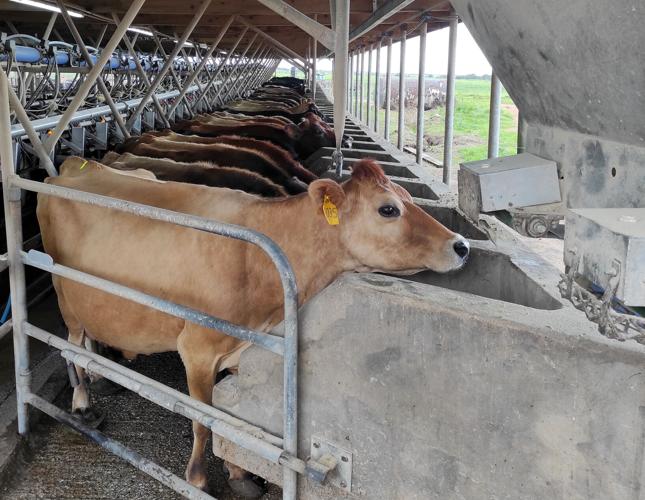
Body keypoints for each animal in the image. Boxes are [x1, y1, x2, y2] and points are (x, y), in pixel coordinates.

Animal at [37, 157, 469, 496]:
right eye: (388, 209)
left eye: (408, 198)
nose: (462, 245)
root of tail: (72, 168)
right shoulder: (196, 349)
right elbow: (204, 421)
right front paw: (198, 479)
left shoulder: (238, 350)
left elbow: (233, 422)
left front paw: (240, 475)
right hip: (64, 292)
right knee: (70, 344)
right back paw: (82, 403)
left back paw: (102, 375)